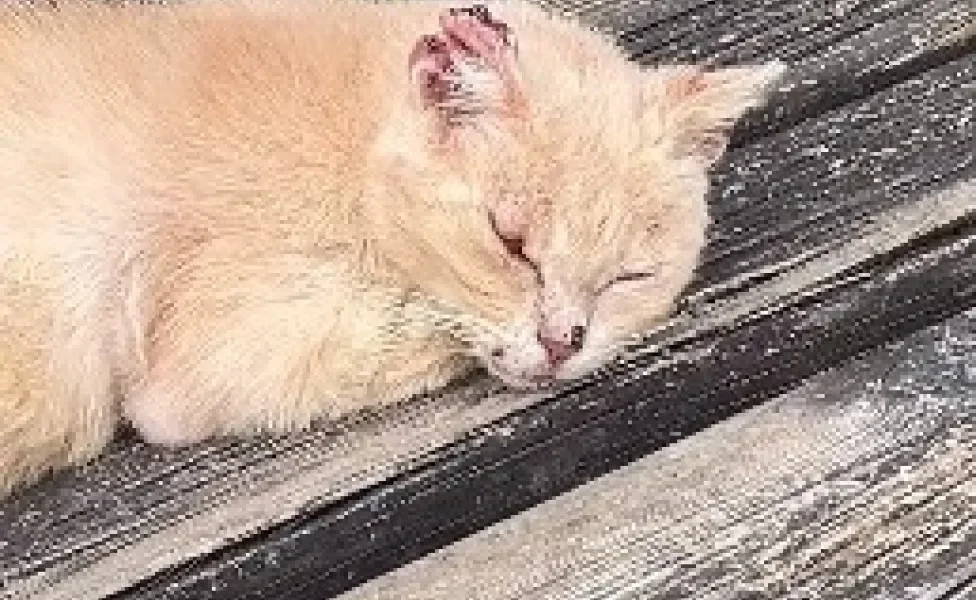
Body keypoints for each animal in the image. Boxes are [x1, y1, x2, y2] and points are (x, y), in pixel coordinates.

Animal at [0, 0, 780, 494]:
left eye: (630, 276)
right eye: (512, 243)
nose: (564, 342)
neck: (352, 137)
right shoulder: (214, 357)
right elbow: (422, 329)